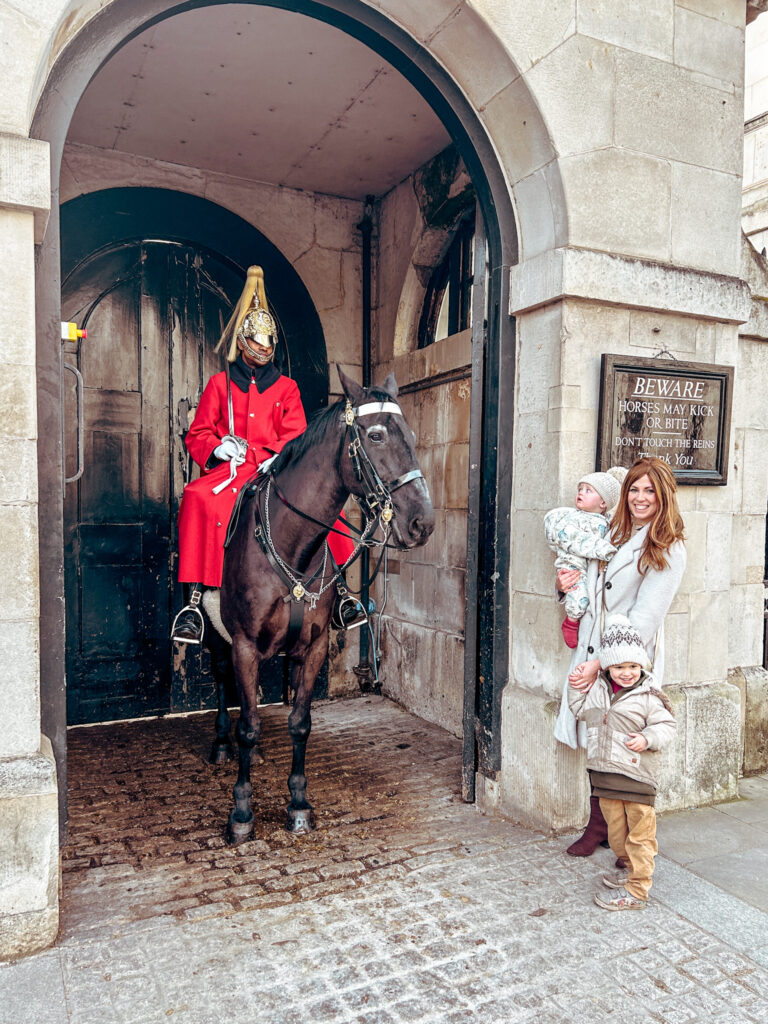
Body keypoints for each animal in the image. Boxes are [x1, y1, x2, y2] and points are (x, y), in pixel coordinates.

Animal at [207, 368, 436, 839]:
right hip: (220, 637)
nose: (422, 522)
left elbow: (300, 723)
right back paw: (221, 743)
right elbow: (249, 726)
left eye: (411, 434)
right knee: (221, 681)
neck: (291, 544)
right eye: (376, 434)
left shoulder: (312, 648)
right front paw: (241, 811)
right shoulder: (244, 646)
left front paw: (298, 802)